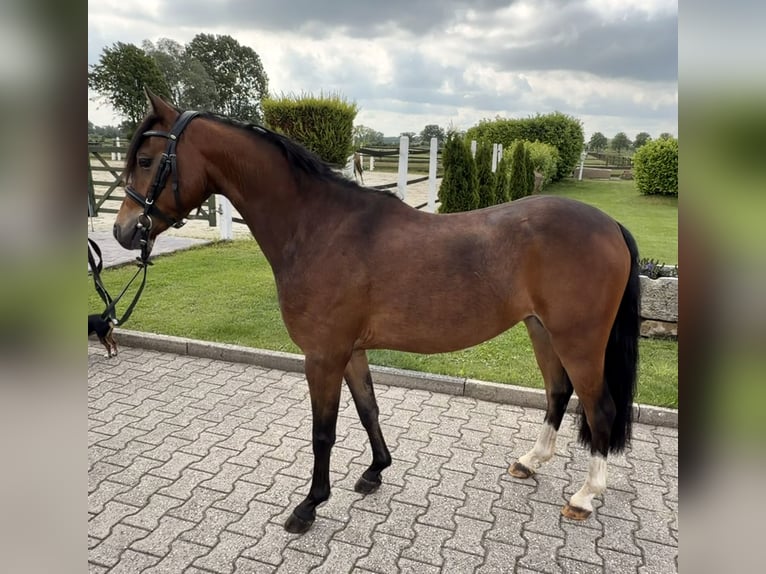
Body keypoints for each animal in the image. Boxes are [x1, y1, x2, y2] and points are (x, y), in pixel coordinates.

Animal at [114, 90, 640, 534]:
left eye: (145, 160)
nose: (123, 232)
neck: (319, 227)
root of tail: (610, 224)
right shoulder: (350, 351)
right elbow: (369, 409)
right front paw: (374, 471)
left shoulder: (322, 355)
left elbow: (322, 432)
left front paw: (309, 506)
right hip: (541, 330)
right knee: (558, 393)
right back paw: (530, 461)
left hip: (578, 339)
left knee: (600, 408)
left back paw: (585, 497)